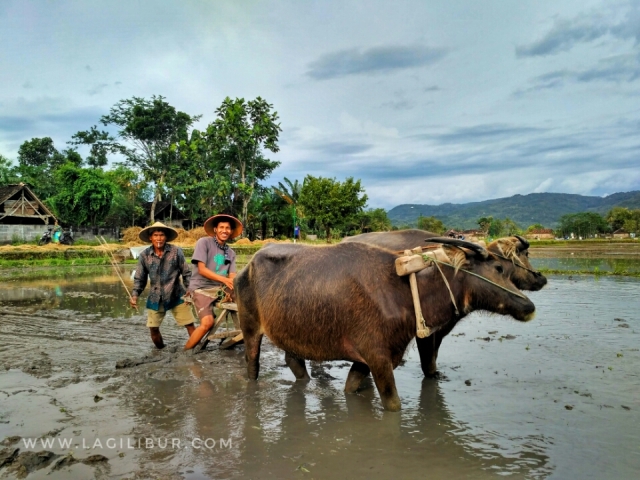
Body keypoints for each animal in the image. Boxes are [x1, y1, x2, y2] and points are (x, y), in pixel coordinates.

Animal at [235, 238, 536, 410]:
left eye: (507, 269)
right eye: (499, 269)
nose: (529, 307)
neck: (404, 290)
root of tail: (247, 266)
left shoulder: (366, 360)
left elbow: (350, 388)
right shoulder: (379, 358)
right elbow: (393, 405)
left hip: (292, 331)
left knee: (293, 361)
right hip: (249, 328)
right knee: (252, 364)